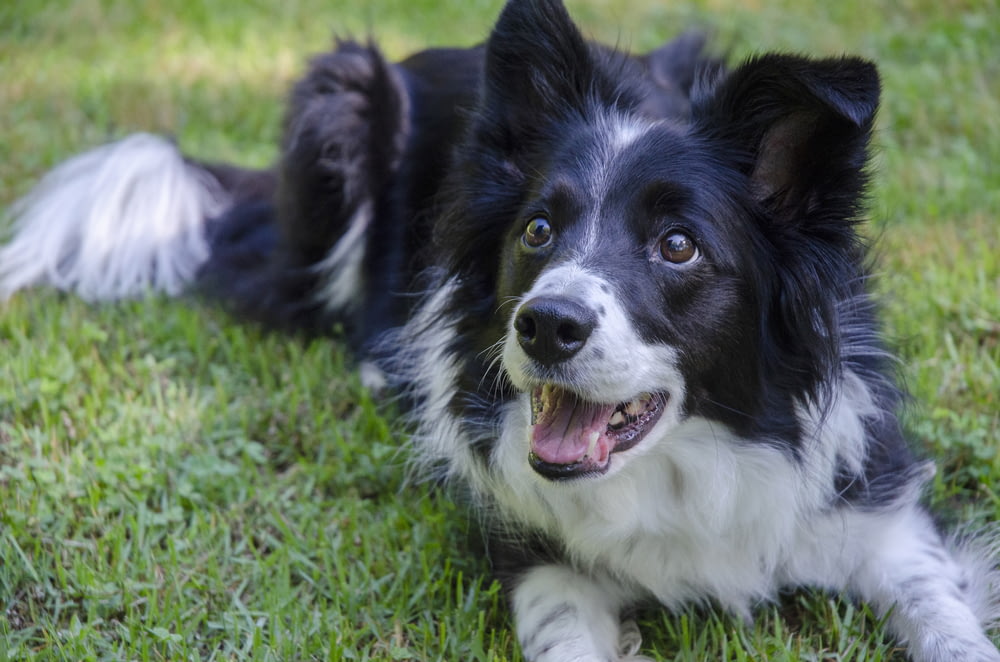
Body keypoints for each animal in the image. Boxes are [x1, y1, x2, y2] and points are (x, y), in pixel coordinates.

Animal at [1, 1, 1000, 662]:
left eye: (678, 245)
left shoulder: (879, 511)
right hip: (341, 98)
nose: (546, 325)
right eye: (537, 231)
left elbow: (943, 612)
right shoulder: (539, 555)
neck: (689, 463)